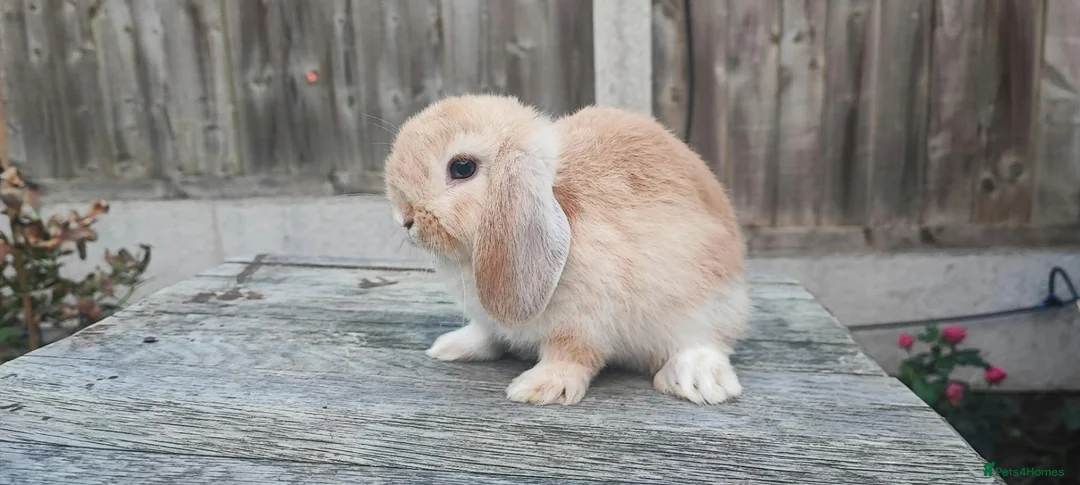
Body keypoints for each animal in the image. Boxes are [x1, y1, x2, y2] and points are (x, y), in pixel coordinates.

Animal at [382, 94, 749, 406]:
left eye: (462, 168)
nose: (404, 218)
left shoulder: (584, 321)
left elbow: (571, 355)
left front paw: (536, 388)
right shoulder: (489, 319)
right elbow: (486, 334)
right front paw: (450, 347)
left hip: (702, 310)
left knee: (706, 342)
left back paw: (697, 380)